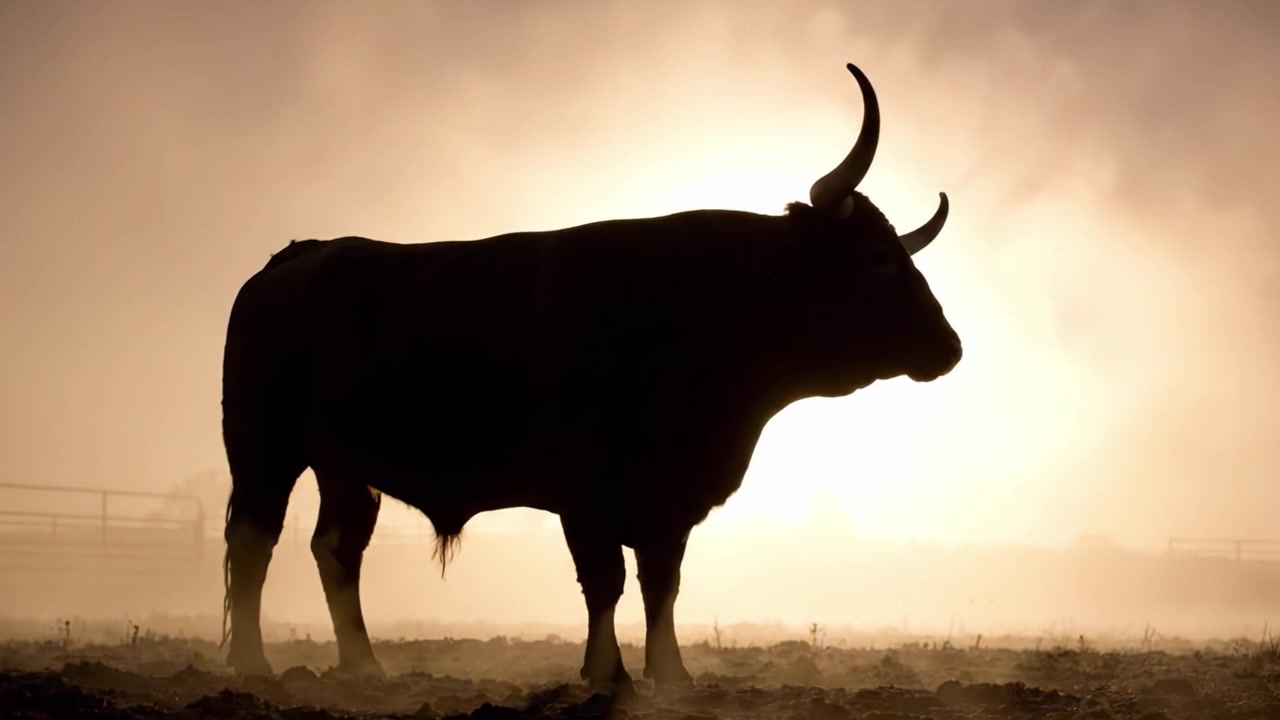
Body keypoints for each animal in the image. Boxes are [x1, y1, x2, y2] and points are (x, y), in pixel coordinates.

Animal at [219, 62, 962, 691]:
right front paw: (608, 674)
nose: (949, 347)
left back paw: (364, 666)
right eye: (877, 257)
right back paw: (256, 664)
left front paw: (672, 675)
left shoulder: (669, 503)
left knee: (336, 548)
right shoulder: (586, 495)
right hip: (264, 449)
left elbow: (661, 583)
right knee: (256, 543)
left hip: (346, 467)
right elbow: (604, 582)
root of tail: (301, 255)